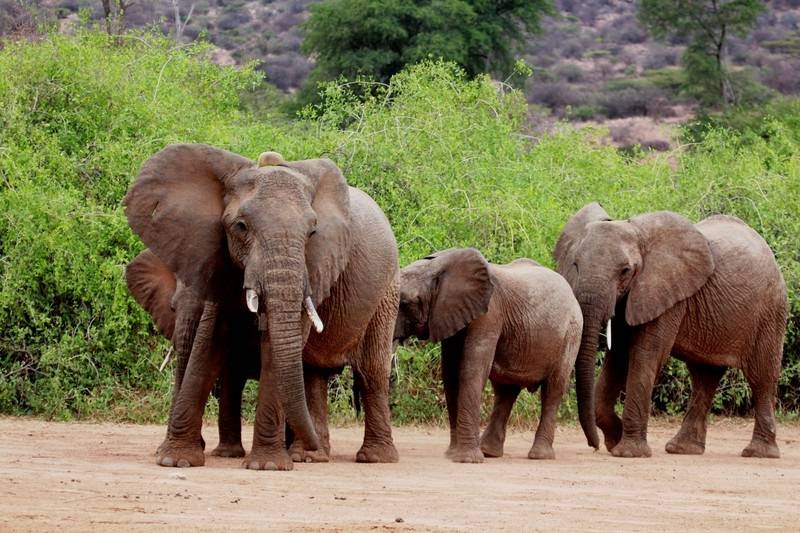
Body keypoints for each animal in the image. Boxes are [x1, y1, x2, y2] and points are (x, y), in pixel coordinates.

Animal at [123, 144, 400, 469]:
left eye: (312, 233)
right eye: (241, 227)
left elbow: (271, 349)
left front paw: (266, 466)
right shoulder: (217, 260)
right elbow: (209, 345)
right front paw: (176, 460)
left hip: (387, 291)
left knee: (372, 371)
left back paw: (372, 458)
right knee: (312, 374)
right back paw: (310, 456)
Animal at [393, 248, 586, 462]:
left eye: (404, 303)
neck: (438, 265)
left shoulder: (489, 313)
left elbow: (471, 370)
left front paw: (467, 460)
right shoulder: (450, 314)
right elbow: (451, 375)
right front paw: (453, 455)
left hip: (571, 333)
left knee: (553, 388)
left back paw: (539, 456)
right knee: (506, 391)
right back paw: (489, 452)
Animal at [554, 203, 788, 458]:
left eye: (625, 271)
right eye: (575, 265)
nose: (594, 446)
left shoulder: (666, 293)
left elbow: (645, 356)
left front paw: (628, 452)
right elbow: (618, 357)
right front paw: (615, 441)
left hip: (770, 311)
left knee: (761, 377)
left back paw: (758, 453)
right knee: (704, 377)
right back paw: (682, 449)